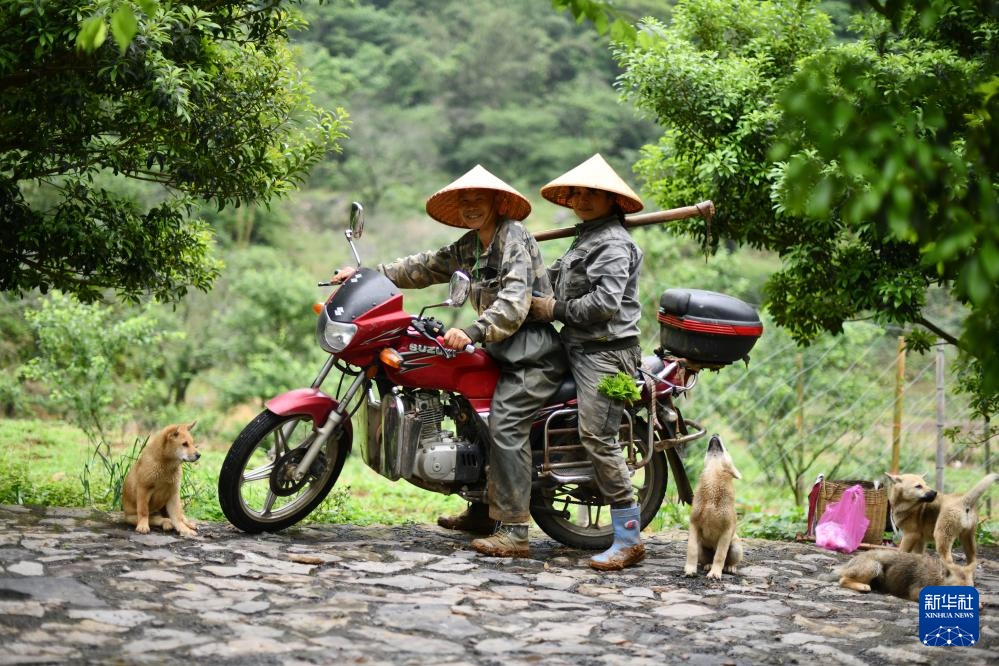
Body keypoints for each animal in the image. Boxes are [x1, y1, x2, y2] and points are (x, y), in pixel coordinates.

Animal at [688, 436, 744, 576]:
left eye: (727, 449)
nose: (715, 434)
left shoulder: (727, 530)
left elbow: (720, 555)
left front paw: (715, 574)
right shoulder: (694, 524)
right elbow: (691, 550)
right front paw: (690, 569)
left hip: (735, 547)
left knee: (728, 561)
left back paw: (729, 568)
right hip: (702, 548)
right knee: (705, 559)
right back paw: (708, 565)